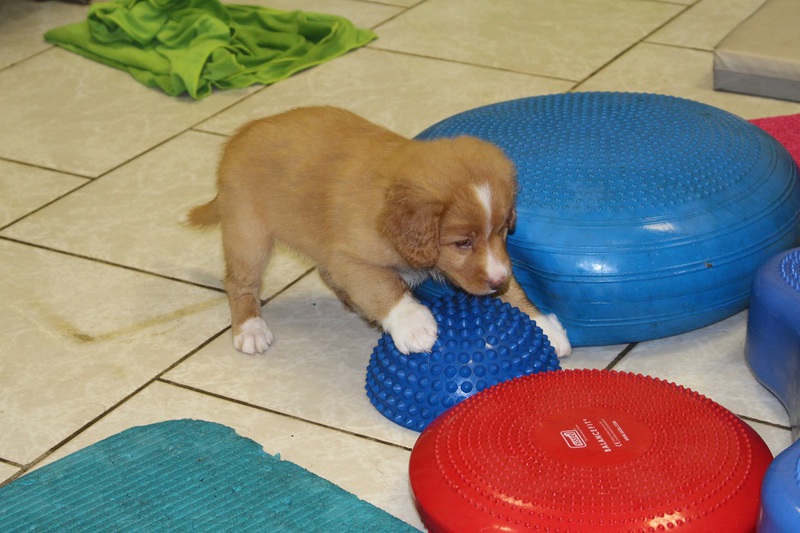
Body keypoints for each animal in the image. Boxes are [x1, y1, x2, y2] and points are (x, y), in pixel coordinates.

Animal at [187, 106, 571, 357]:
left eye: (504, 232)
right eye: (463, 243)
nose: (497, 282)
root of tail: (241, 135)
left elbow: (517, 288)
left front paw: (543, 324)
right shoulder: (350, 257)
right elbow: (385, 286)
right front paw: (413, 324)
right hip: (248, 234)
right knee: (240, 283)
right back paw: (249, 328)